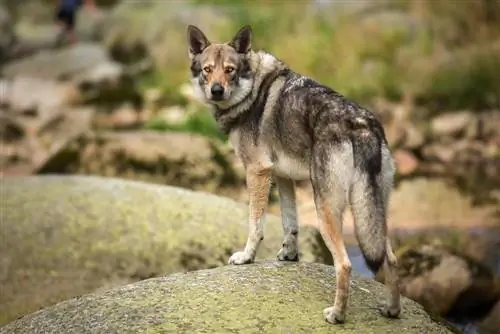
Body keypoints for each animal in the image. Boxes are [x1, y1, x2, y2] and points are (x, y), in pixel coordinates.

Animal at [188, 24, 402, 324]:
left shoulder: (257, 172)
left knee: (345, 264)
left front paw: (246, 257)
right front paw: (289, 255)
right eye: (207, 69)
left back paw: (336, 315)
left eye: (230, 70)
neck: (253, 91)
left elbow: (255, 224)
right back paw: (391, 310)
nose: (216, 91)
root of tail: (361, 125)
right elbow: (290, 224)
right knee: (390, 259)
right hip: (374, 214)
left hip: (326, 210)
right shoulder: (282, 177)